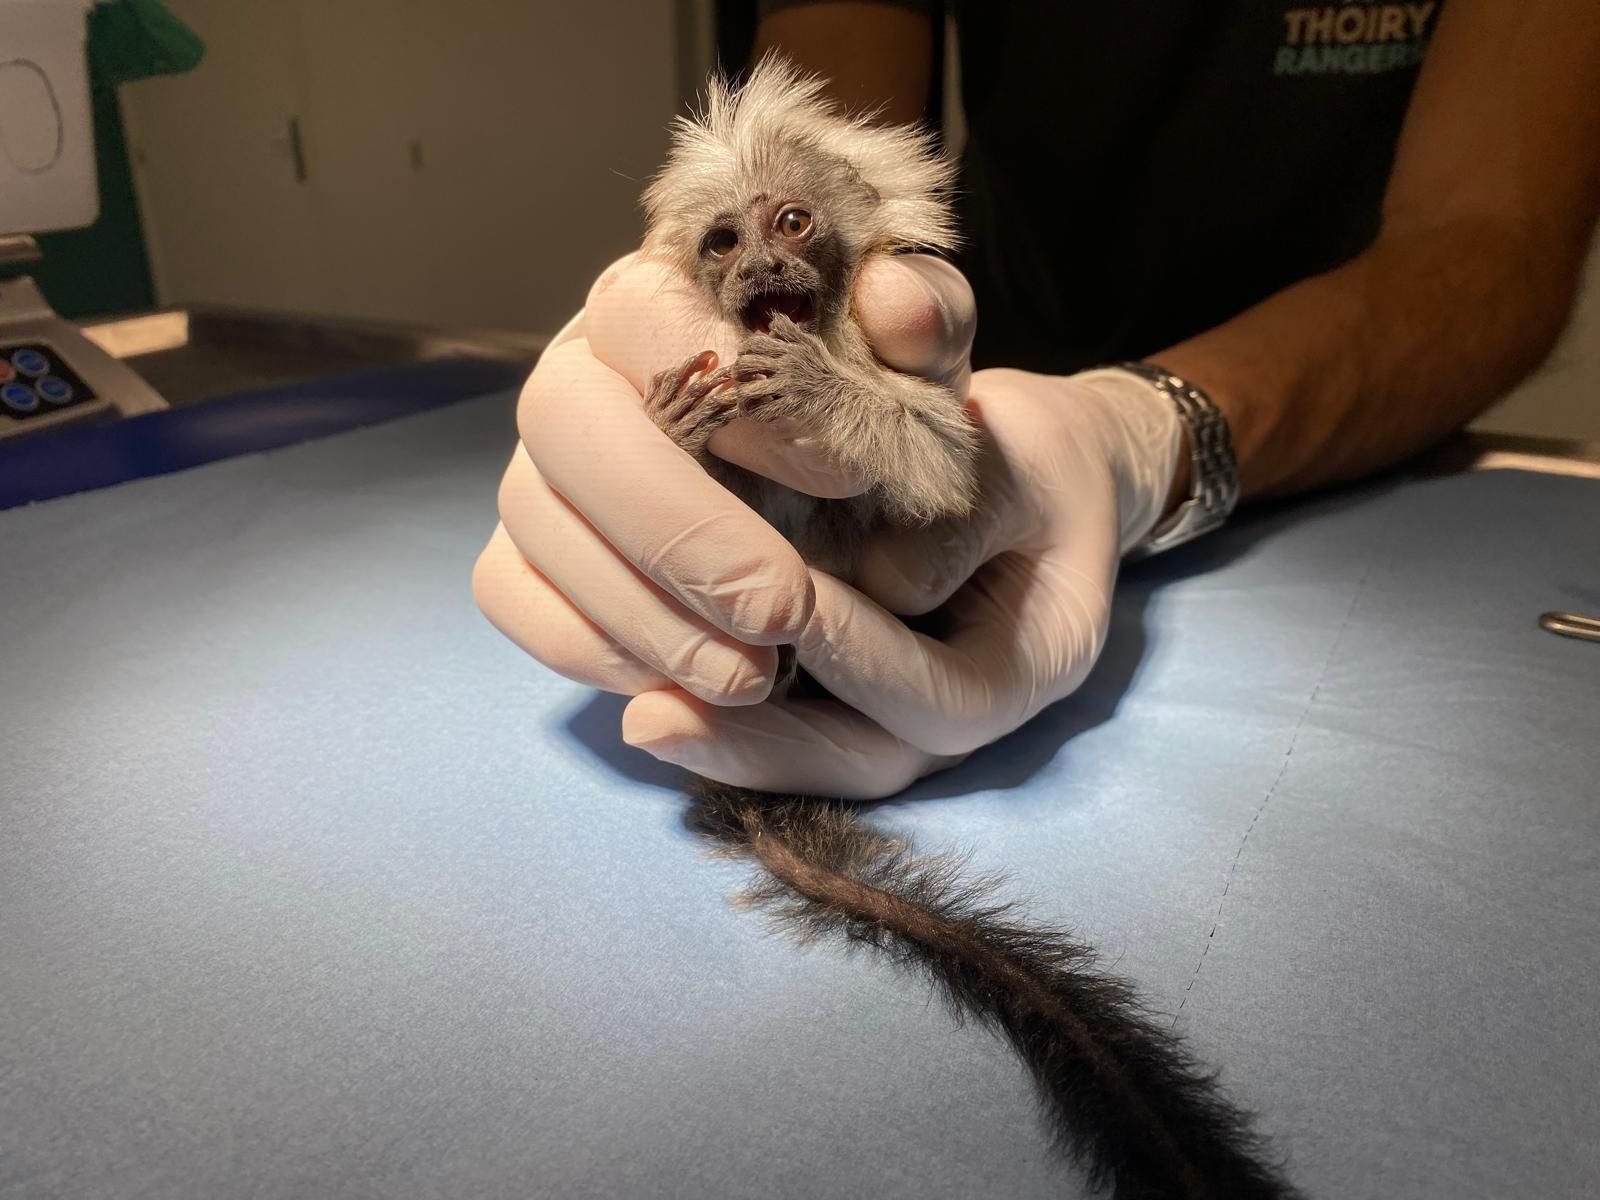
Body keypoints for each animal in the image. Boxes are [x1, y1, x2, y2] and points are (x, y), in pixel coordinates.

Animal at [630, 56, 1292, 1200]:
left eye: (790, 222)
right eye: (722, 241)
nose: (757, 265)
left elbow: (940, 471)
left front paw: (820, 389)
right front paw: (675, 441)